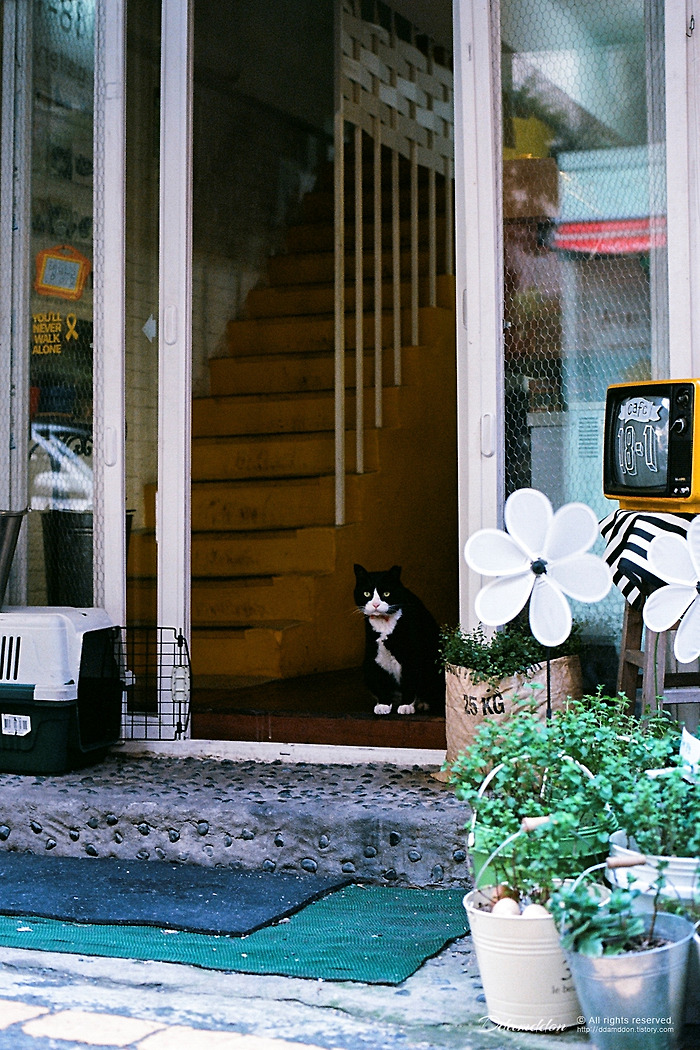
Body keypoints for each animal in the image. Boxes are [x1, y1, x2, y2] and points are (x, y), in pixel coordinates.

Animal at [352, 567, 447, 713]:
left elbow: (410, 679)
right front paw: (383, 704)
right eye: (367, 593)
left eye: (386, 593)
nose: (375, 604)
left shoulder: (412, 653)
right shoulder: (375, 653)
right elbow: (380, 678)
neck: (384, 625)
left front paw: (406, 705)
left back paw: (423, 704)